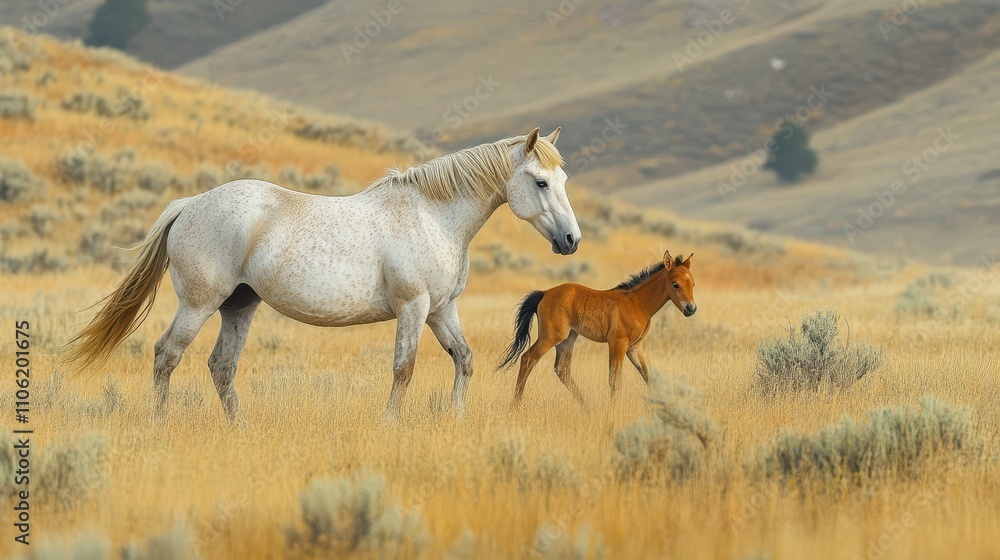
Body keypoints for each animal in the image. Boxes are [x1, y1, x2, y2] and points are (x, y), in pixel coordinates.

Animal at [66, 127, 581, 420]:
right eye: (540, 182)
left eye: (563, 180)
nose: (571, 240)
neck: (432, 215)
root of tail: (190, 204)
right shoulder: (413, 308)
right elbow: (404, 369)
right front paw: (390, 427)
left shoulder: (440, 310)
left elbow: (465, 359)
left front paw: (456, 421)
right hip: (199, 304)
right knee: (166, 355)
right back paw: (161, 424)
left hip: (239, 306)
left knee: (221, 367)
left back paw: (240, 429)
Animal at [497, 250, 696, 407]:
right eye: (675, 284)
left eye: (692, 283)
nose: (691, 309)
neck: (637, 303)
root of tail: (544, 293)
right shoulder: (617, 343)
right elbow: (615, 381)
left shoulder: (634, 347)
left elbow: (648, 376)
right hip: (552, 337)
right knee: (528, 358)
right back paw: (515, 405)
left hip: (568, 339)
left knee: (562, 369)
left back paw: (587, 407)